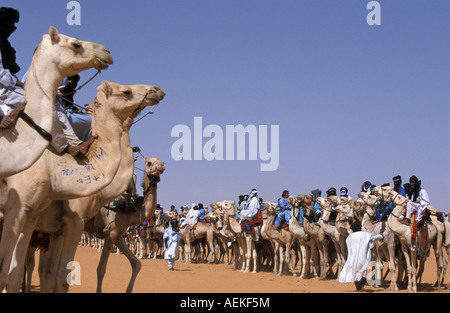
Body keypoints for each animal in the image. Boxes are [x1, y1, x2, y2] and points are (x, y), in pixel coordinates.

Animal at [0, 80, 165, 290]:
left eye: (159, 161)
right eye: (150, 163)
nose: (156, 90)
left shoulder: (115, 233)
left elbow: (136, 263)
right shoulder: (93, 226)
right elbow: (96, 270)